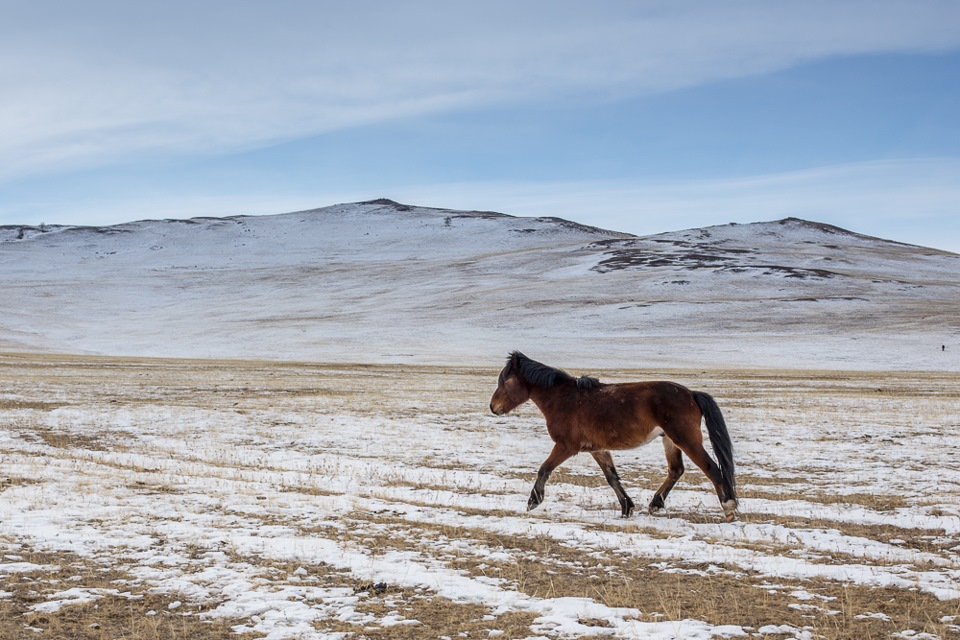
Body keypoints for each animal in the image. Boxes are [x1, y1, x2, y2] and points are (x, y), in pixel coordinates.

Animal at [492, 352, 740, 524]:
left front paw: (533, 501)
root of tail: (691, 394)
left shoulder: (566, 446)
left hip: (685, 439)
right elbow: (611, 477)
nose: (493, 407)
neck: (564, 399)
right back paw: (655, 504)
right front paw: (626, 507)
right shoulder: (597, 449)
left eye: (506, 381)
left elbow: (544, 468)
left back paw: (729, 509)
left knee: (711, 468)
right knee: (676, 470)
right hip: (670, 440)